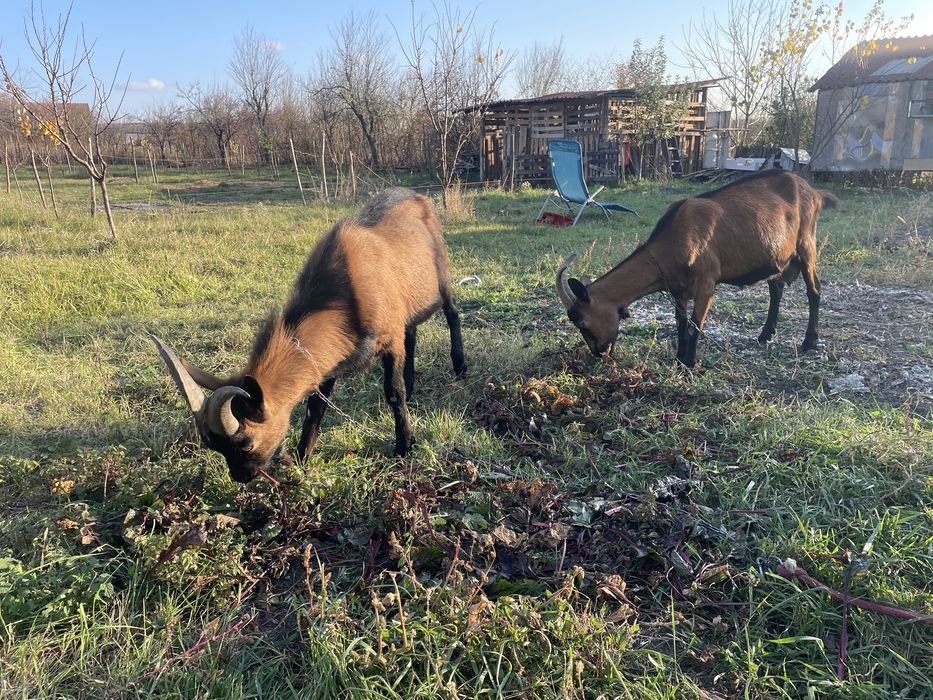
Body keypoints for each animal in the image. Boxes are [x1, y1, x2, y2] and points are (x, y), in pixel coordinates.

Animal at [151, 187, 467, 483]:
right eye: (215, 448)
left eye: (245, 443)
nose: (242, 477)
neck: (342, 296)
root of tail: (416, 196)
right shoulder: (329, 361)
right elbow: (315, 408)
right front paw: (304, 456)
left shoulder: (389, 340)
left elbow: (393, 392)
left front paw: (404, 445)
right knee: (412, 334)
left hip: (442, 279)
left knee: (452, 313)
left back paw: (460, 367)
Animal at [556, 170, 838, 367]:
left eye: (582, 322)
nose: (599, 352)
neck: (674, 239)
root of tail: (814, 192)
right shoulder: (679, 289)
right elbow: (681, 324)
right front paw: (680, 358)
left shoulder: (706, 283)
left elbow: (694, 325)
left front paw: (690, 363)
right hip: (777, 255)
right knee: (776, 288)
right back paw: (765, 334)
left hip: (806, 246)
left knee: (814, 290)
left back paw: (809, 341)